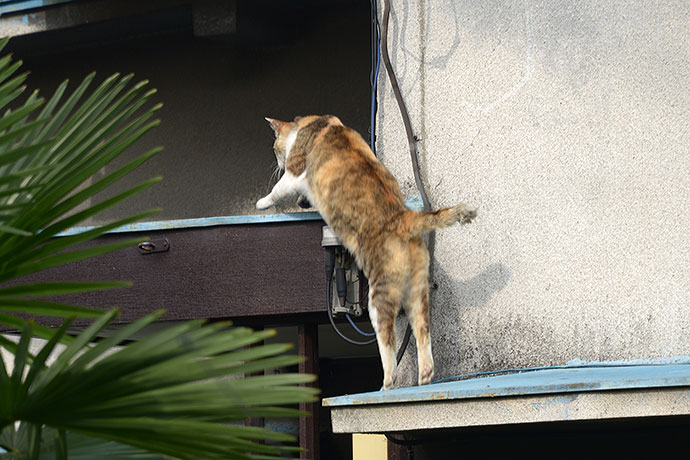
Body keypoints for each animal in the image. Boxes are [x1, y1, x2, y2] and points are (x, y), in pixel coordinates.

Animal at [255, 115, 476, 388]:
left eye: (275, 149)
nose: (276, 161)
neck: (313, 122)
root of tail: (405, 217)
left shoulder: (295, 171)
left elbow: (277, 189)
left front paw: (261, 202)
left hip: (378, 297)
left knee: (388, 339)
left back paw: (387, 382)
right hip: (417, 291)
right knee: (423, 330)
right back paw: (424, 375)